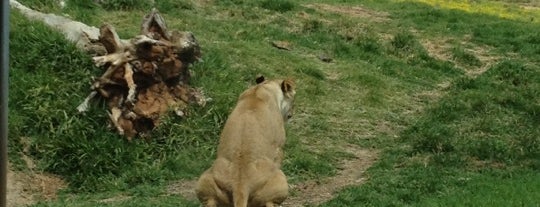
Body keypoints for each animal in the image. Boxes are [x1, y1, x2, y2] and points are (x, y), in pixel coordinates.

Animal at [194, 76, 296, 207]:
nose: (291, 114)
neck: (262, 88)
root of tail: (241, 186)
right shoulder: (279, 150)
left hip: (204, 181)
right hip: (281, 180)